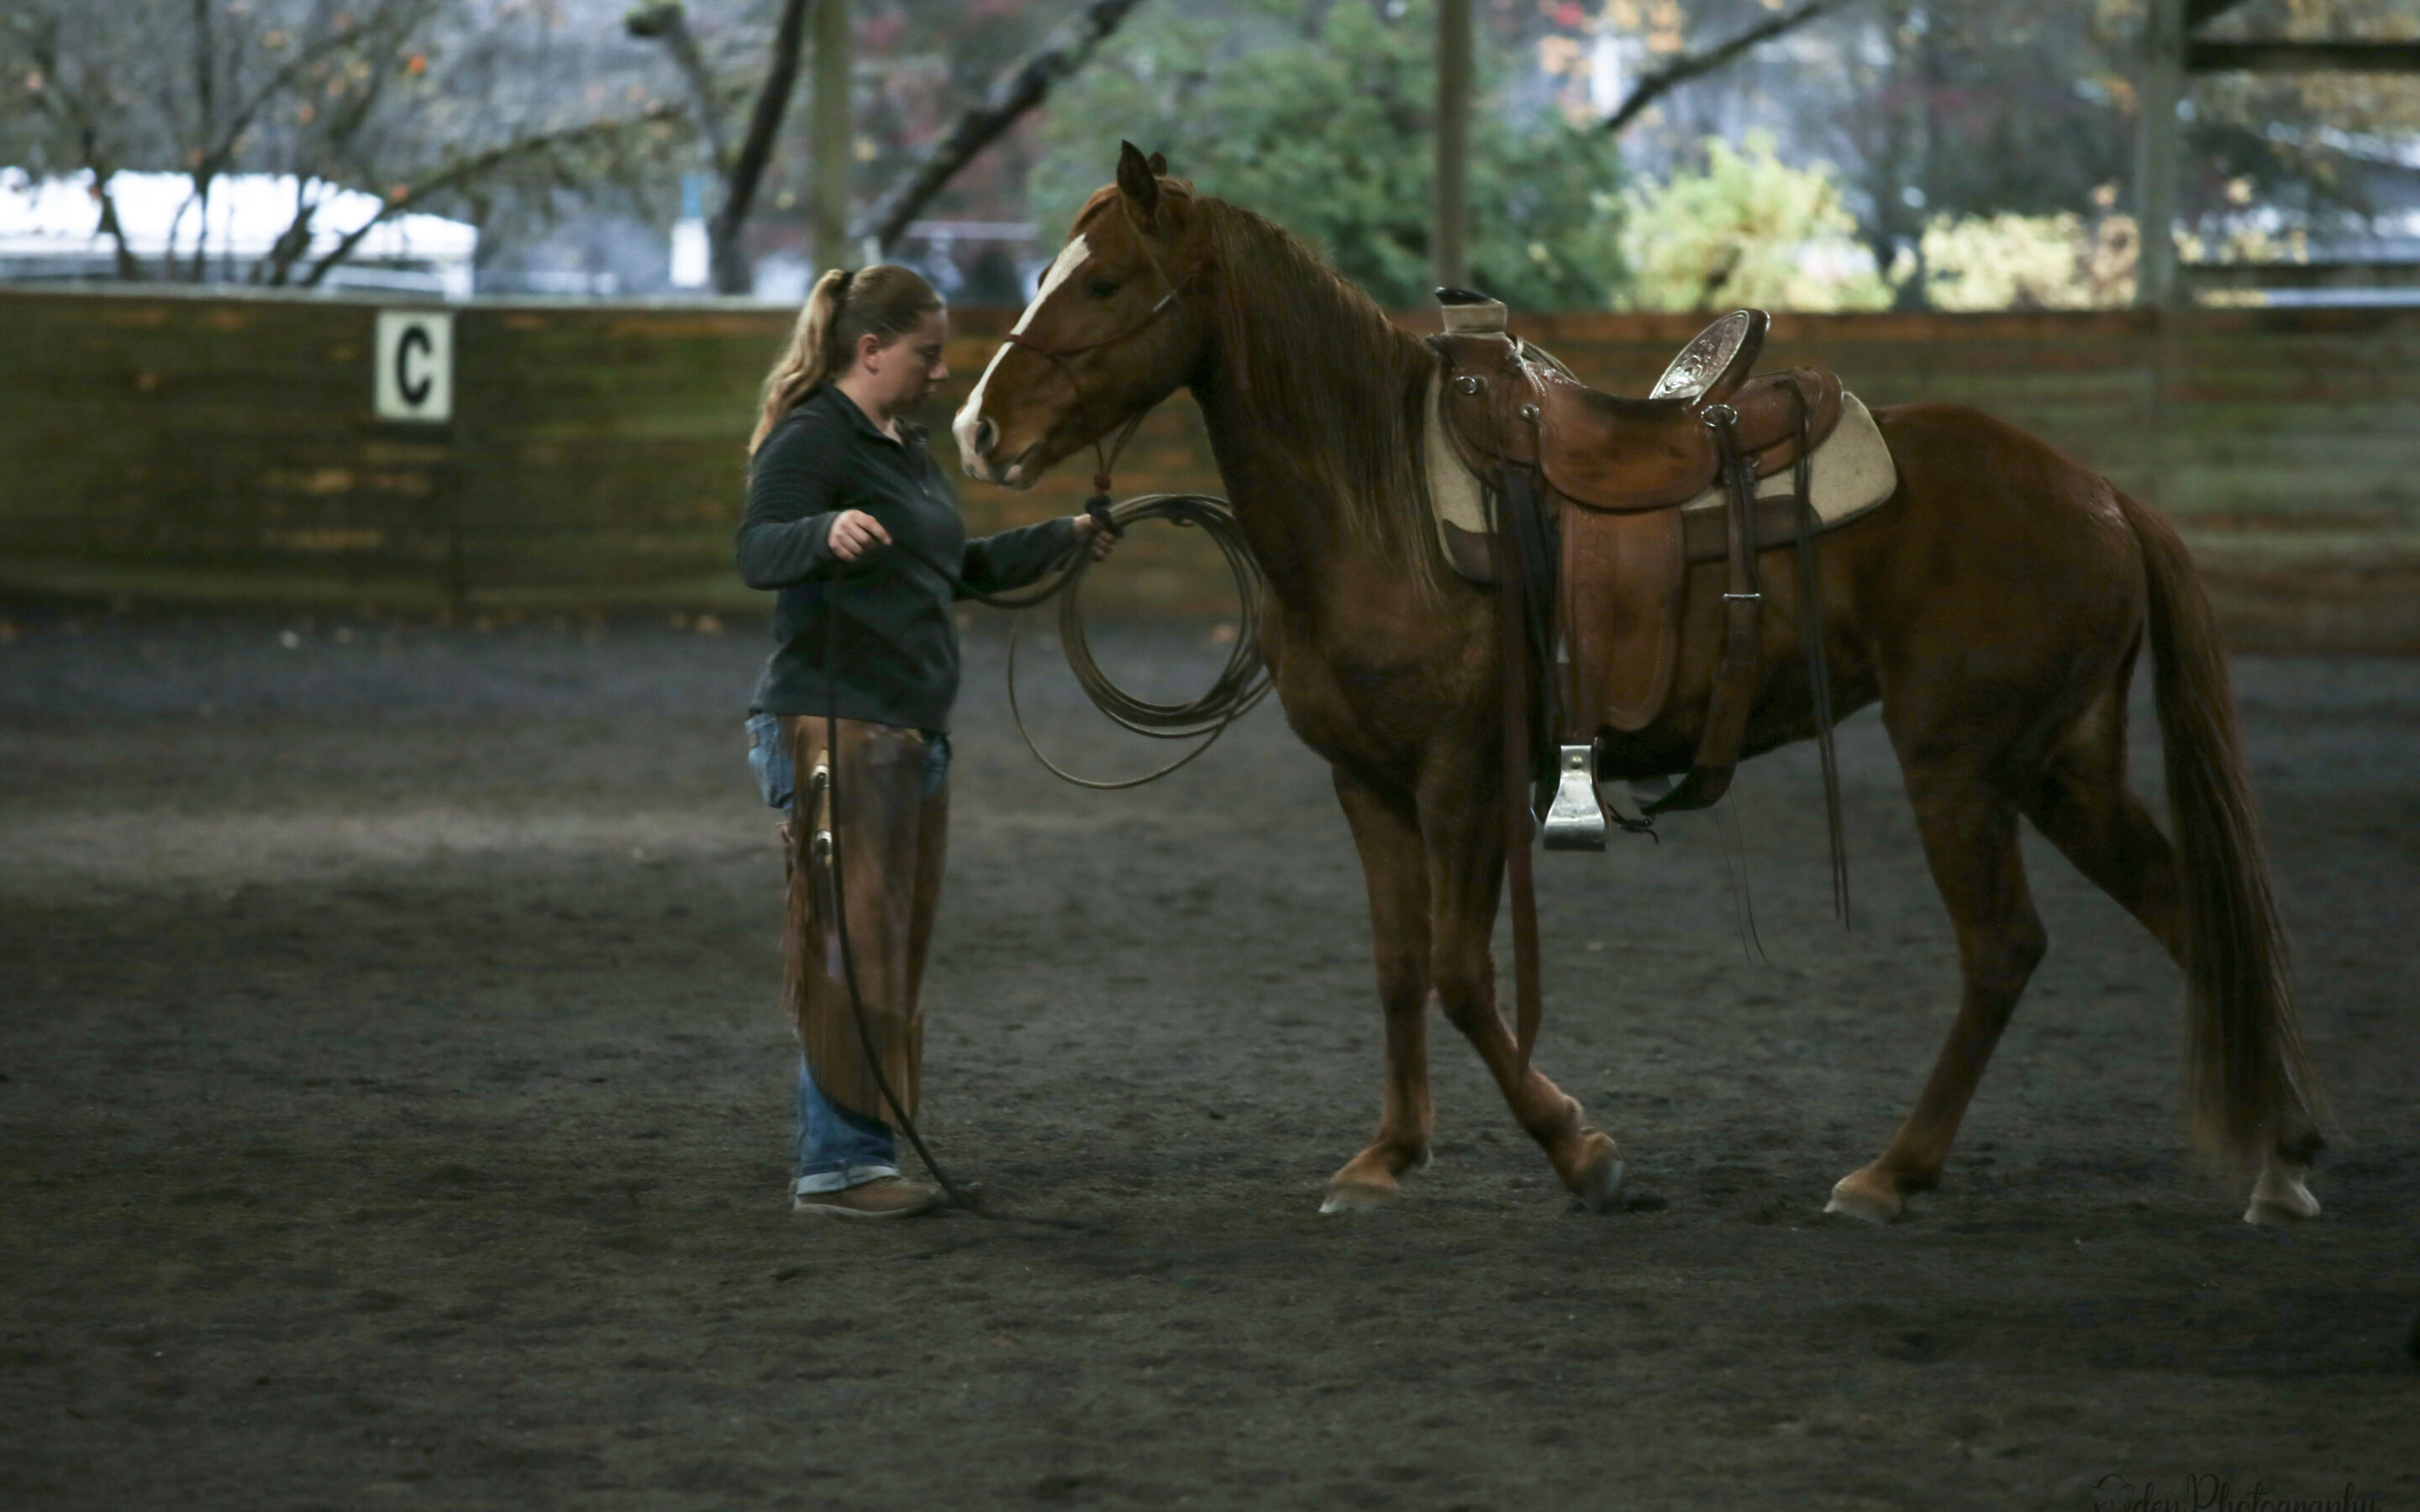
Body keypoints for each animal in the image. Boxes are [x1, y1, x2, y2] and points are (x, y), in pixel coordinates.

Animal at [944, 141, 2323, 1229]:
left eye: (1105, 281)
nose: (976, 433)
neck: (1380, 507)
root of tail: (2104, 497)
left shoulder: (1461, 781)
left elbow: (1462, 975)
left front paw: (1583, 1151)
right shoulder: (1367, 785)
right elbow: (1399, 966)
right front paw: (1389, 1156)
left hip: (1961, 763)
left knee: (2004, 949)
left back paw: (1891, 1173)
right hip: (2061, 761)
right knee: (2189, 913)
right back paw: (2283, 1156)